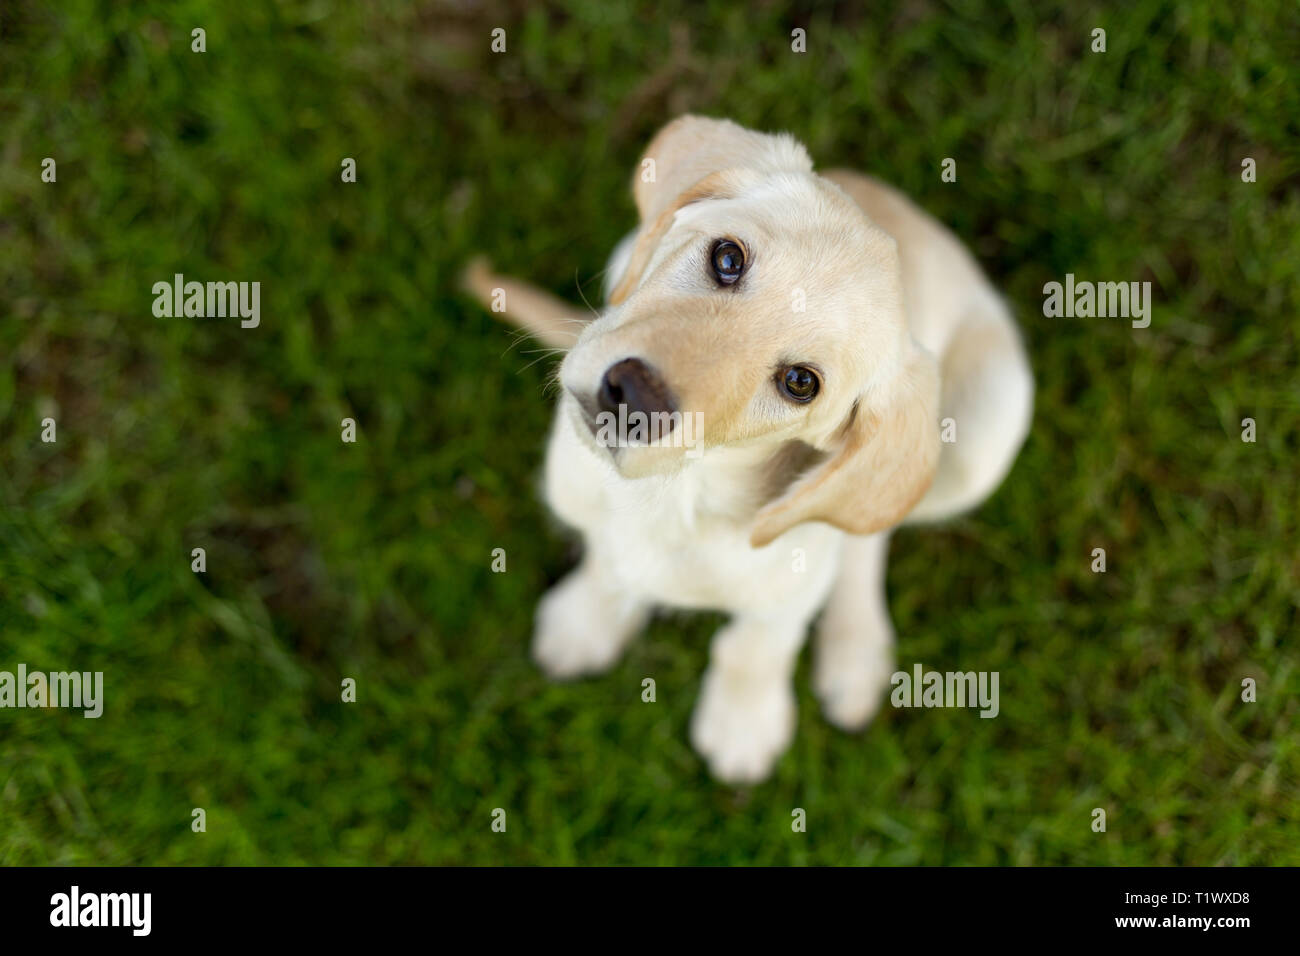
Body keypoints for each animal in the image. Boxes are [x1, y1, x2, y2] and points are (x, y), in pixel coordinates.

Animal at [462, 115, 1029, 780]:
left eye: (800, 383)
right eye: (727, 258)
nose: (632, 396)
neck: (678, 495)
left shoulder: (785, 590)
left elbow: (755, 645)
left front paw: (743, 722)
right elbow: (608, 563)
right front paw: (587, 621)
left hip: (986, 431)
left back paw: (855, 650)